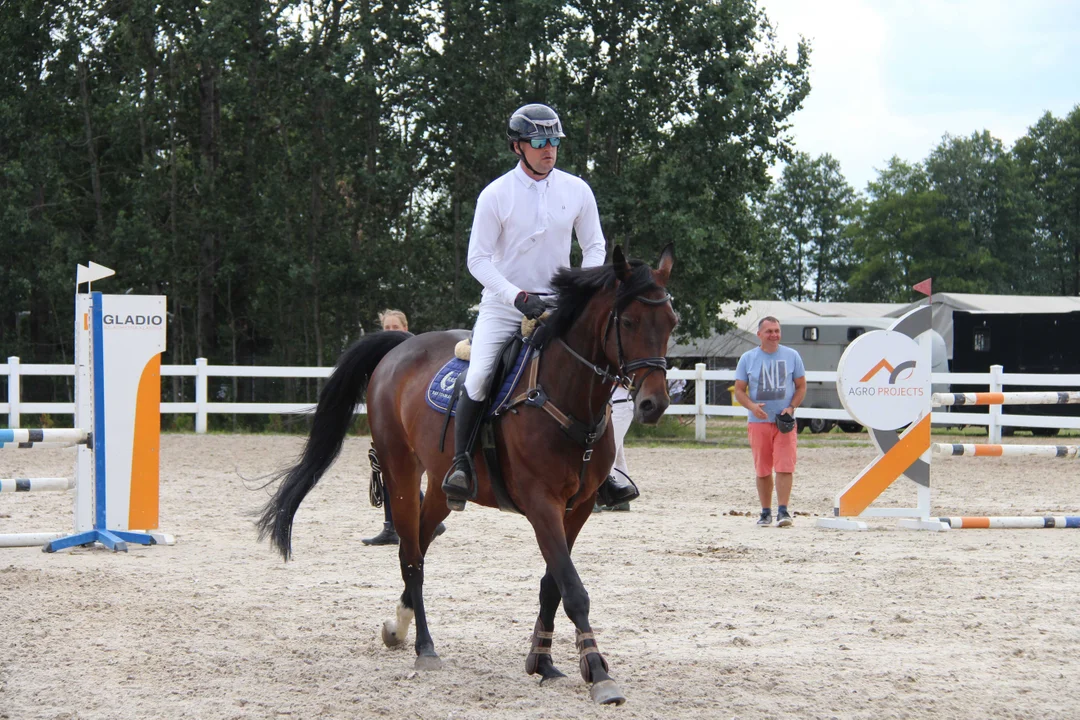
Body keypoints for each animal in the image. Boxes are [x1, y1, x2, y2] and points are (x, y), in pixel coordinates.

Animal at [257, 245, 673, 708]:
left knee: (419, 544)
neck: (565, 395)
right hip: (400, 472)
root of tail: (403, 346)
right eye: (629, 322)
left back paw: (399, 625)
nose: (654, 403)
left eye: (671, 322)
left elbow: (553, 584)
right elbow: (573, 587)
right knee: (411, 555)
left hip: (440, 487)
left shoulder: (577, 507)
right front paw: (599, 672)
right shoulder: (541, 504)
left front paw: (543, 661)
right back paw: (424, 647)